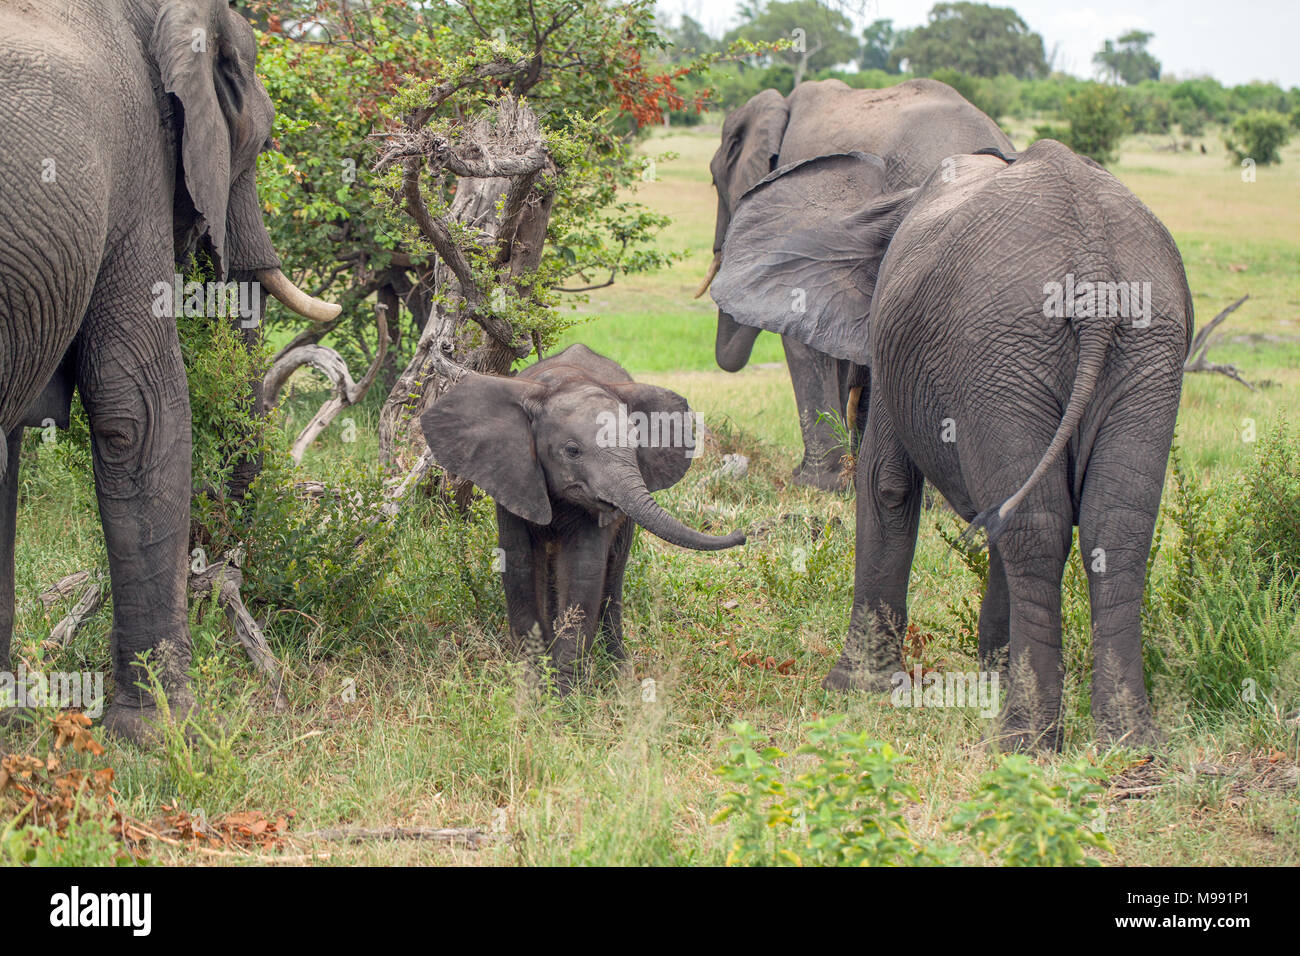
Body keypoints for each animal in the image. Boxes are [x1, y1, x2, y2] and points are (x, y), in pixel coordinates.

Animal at [426, 343, 748, 686]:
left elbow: (583, 568)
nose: (742, 534)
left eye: (636, 444)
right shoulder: (513, 475)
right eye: (572, 451)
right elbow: (518, 562)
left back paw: (619, 671)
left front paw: (562, 690)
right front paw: (532, 683)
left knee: (613, 573)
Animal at [717, 143, 1190, 754]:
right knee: (1112, 529)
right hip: (1141, 351)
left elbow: (886, 485)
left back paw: (1024, 741)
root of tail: (1093, 262)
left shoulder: (893, 344)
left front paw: (852, 689)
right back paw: (1128, 741)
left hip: (1007, 352)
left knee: (1038, 530)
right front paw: (994, 673)